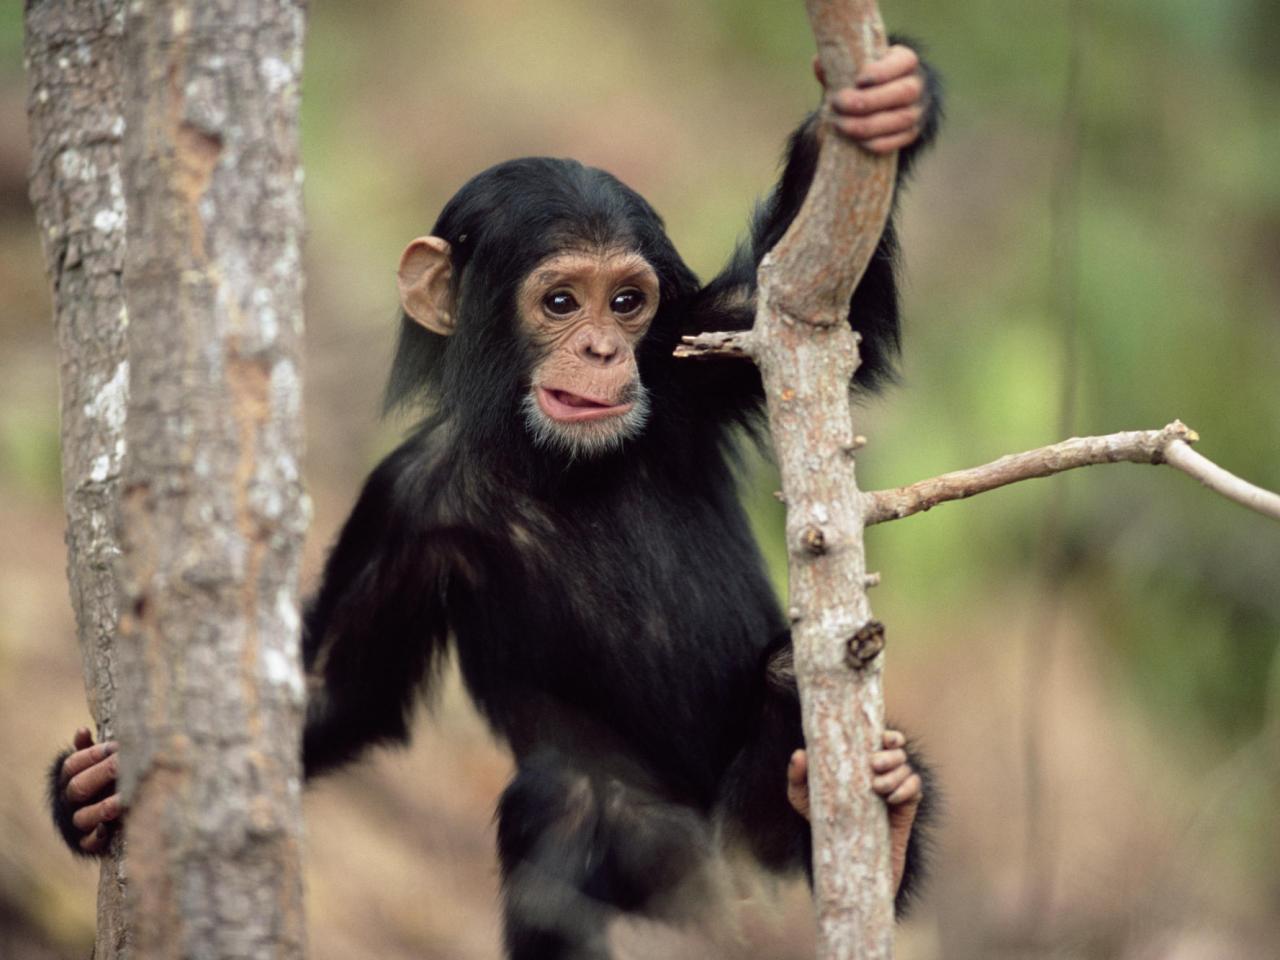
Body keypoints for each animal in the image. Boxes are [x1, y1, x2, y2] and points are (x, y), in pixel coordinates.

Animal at [52, 45, 942, 960]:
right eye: (561, 301)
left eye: (628, 302)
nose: (602, 349)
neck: (548, 462)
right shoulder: (403, 504)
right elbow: (336, 691)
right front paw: (86, 790)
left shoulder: (695, 357)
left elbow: (821, 307)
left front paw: (884, 104)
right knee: (561, 801)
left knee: (788, 687)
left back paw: (886, 813)